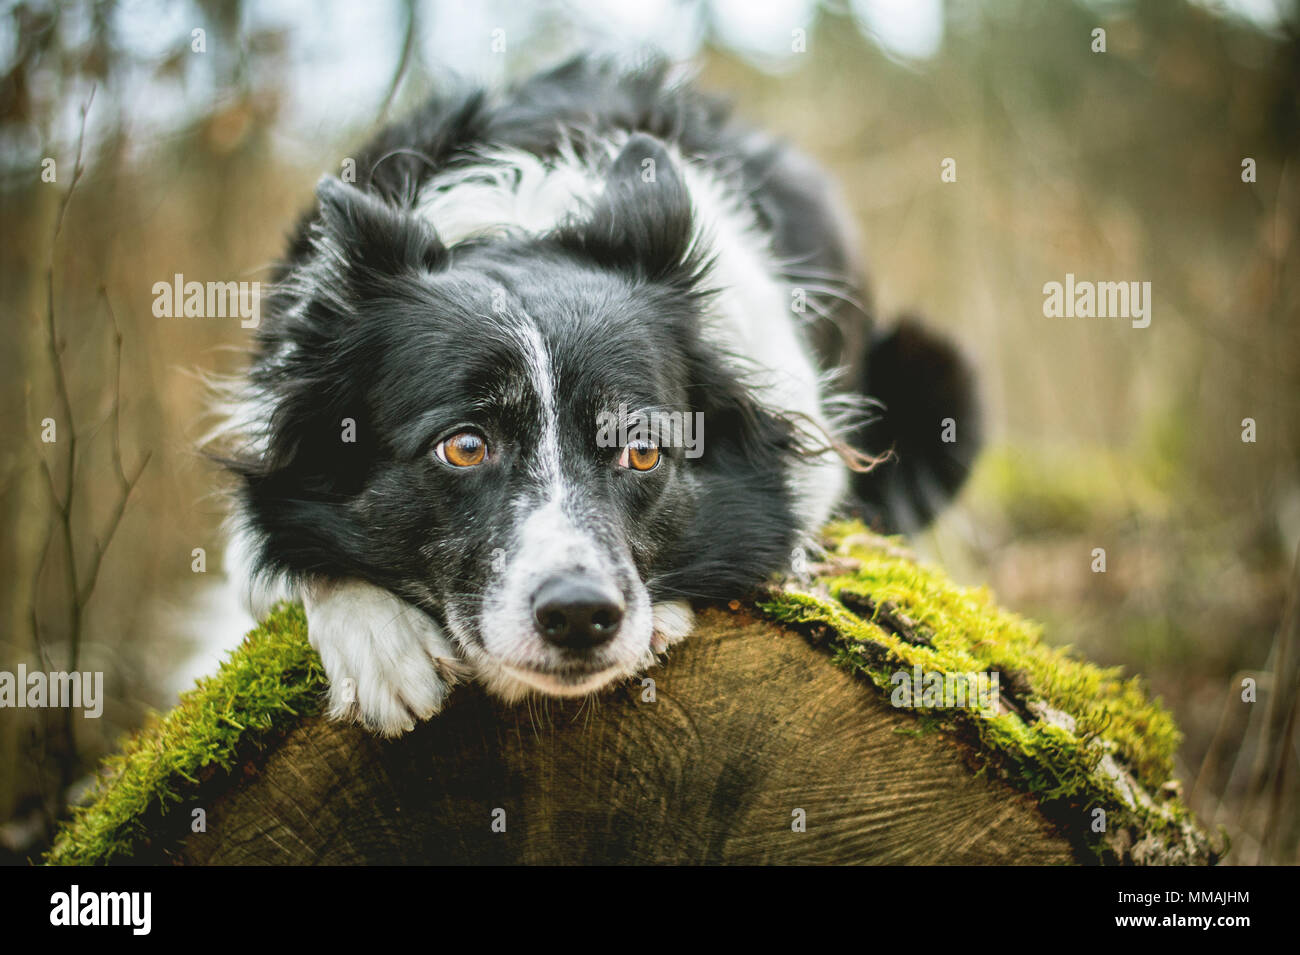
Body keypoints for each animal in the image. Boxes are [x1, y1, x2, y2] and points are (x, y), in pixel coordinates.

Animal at [218, 55, 977, 738]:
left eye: (642, 452)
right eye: (464, 446)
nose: (581, 615)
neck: (520, 229)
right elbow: (269, 552)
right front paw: (379, 642)